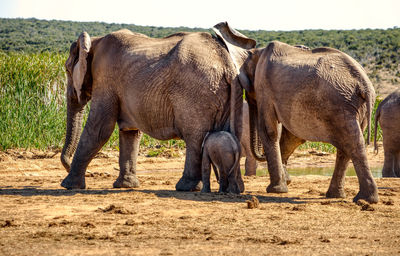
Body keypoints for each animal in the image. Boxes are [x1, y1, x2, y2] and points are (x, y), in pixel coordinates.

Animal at [60, 29, 253, 191]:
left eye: (67, 70)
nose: (67, 165)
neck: (95, 40)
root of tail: (227, 64)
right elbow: (130, 132)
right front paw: (126, 186)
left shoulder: (105, 79)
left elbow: (99, 130)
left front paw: (68, 186)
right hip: (229, 94)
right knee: (229, 135)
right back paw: (234, 190)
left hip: (197, 94)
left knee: (195, 137)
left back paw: (186, 187)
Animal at [212, 22, 378, 203]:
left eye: (249, 91)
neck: (258, 52)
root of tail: (365, 85)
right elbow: (292, 136)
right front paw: (284, 183)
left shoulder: (264, 86)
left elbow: (269, 131)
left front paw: (276, 190)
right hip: (354, 107)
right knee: (347, 145)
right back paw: (340, 196)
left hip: (342, 105)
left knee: (352, 143)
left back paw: (365, 199)